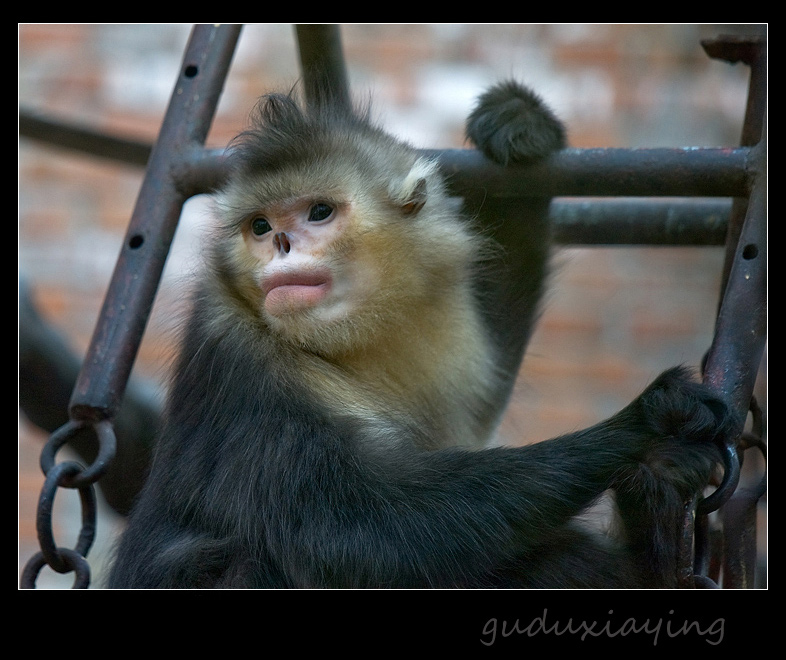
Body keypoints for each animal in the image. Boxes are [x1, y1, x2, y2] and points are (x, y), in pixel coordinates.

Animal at [107, 81, 724, 588]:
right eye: (259, 226)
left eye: (318, 212)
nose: (280, 242)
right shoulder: (240, 357)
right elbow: (357, 534)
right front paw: (645, 422)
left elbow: (479, 403)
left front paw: (520, 127)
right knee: (238, 560)